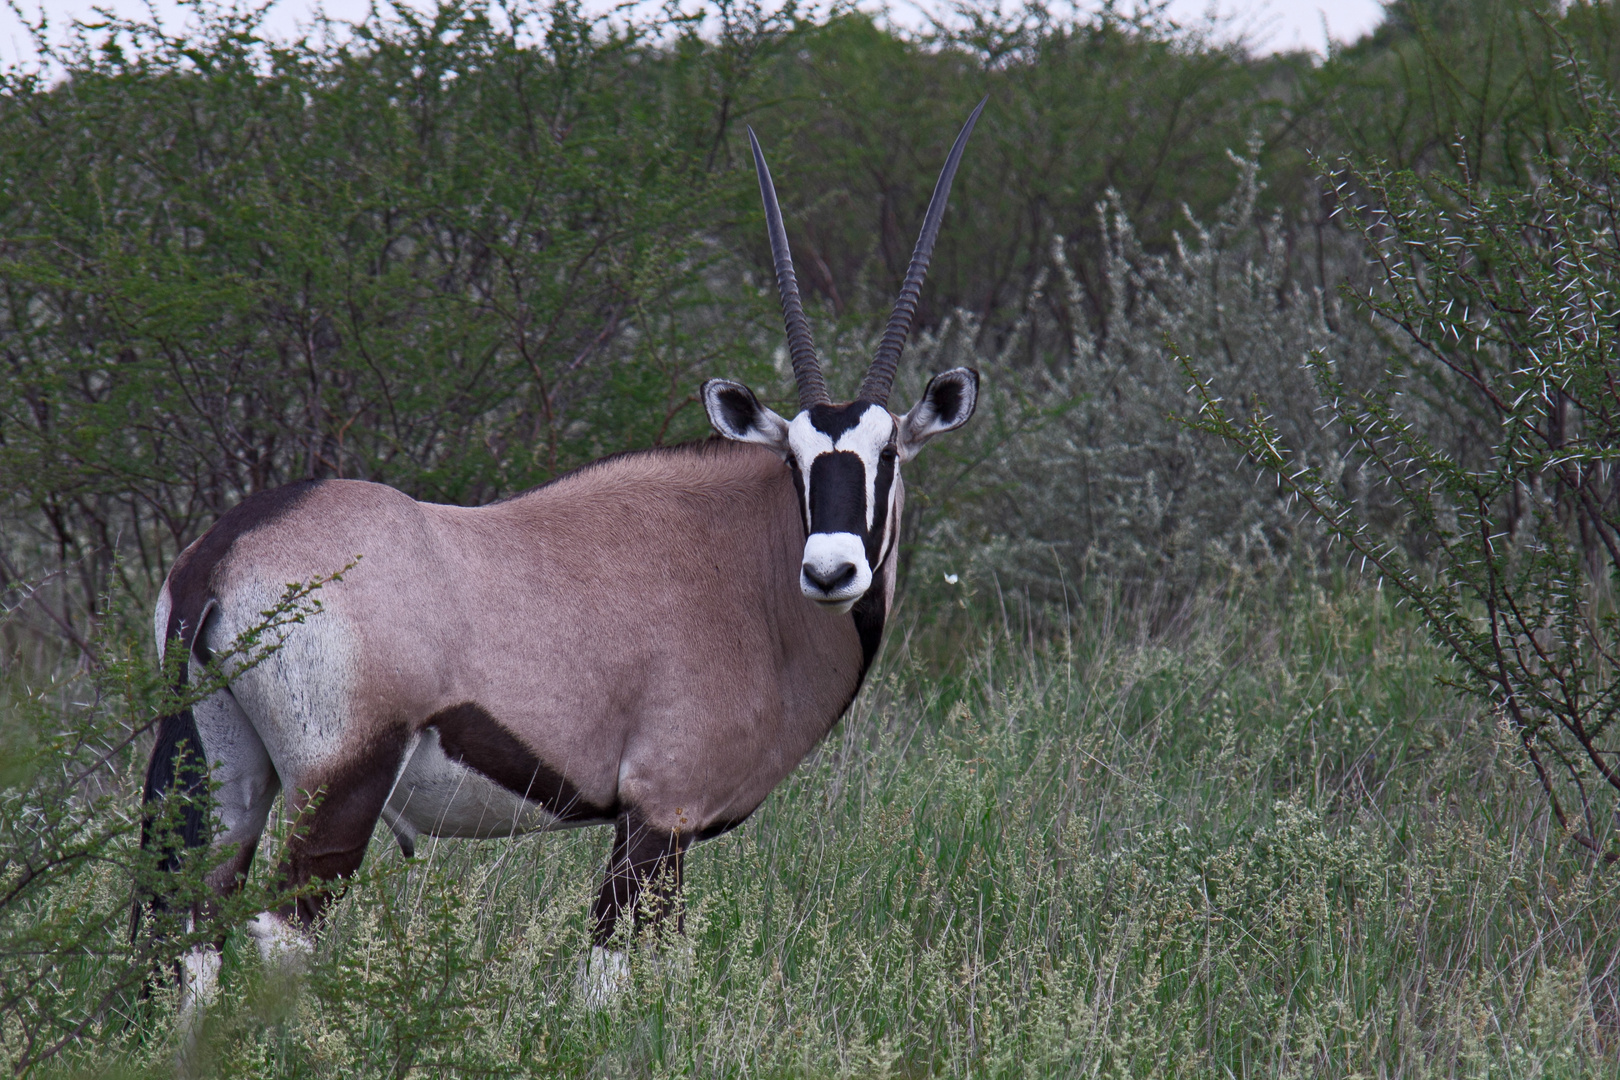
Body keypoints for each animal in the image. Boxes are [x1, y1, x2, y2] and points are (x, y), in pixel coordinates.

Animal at [139, 97, 984, 1010]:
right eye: (793, 460)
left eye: (887, 454)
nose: (831, 571)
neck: (746, 567)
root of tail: (225, 554)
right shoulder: (660, 813)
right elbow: (609, 974)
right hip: (338, 786)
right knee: (278, 933)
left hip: (224, 773)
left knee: (186, 925)